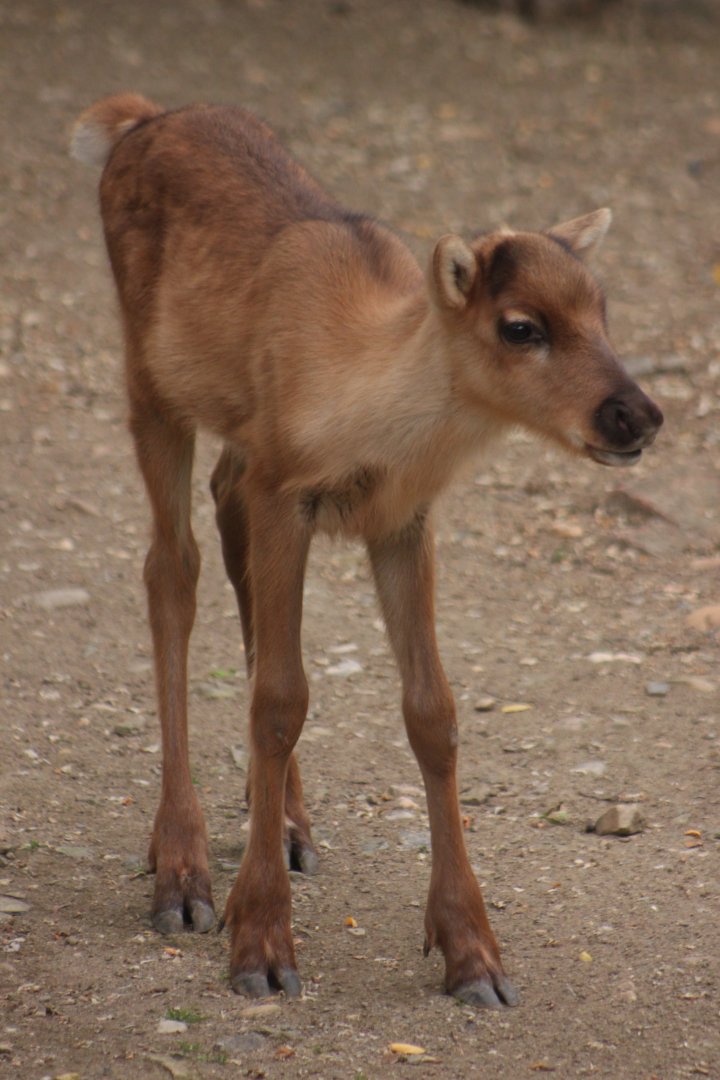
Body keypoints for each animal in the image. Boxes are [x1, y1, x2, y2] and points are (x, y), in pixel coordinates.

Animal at [70, 93, 662, 1009]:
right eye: (520, 326)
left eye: (604, 311)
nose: (636, 415)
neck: (367, 408)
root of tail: (137, 119)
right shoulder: (289, 489)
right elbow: (280, 701)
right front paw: (260, 942)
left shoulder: (398, 520)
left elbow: (433, 714)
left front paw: (472, 953)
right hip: (151, 384)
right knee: (172, 570)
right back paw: (183, 872)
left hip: (237, 444)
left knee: (223, 521)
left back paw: (285, 822)